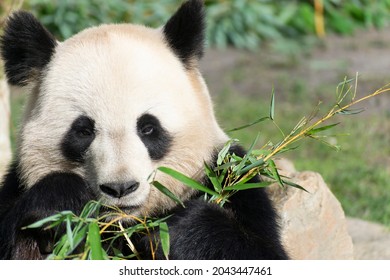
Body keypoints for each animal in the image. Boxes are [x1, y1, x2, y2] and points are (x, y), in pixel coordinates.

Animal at [0, 0, 286, 260]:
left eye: (148, 128)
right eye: (83, 131)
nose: (120, 188)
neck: (124, 223)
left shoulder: (232, 179)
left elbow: (258, 249)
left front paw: (173, 230)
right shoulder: (16, 185)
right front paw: (62, 204)